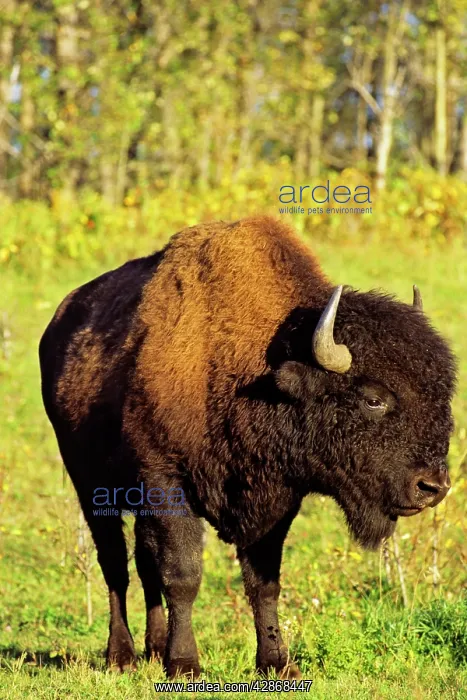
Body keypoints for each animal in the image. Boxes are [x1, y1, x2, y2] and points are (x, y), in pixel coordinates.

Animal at [39, 216, 456, 679]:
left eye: (442, 393)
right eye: (373, 398)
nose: (433, 487)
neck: (256, 369)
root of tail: (57, 326)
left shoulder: (275, 502)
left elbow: (263, 583)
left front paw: (277, 664)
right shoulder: (166, 484)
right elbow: (183, 576)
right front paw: (185, 665)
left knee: (144, 564)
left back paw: (153, 647)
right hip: (91, 488)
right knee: (115, 564)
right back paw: (122, 655)